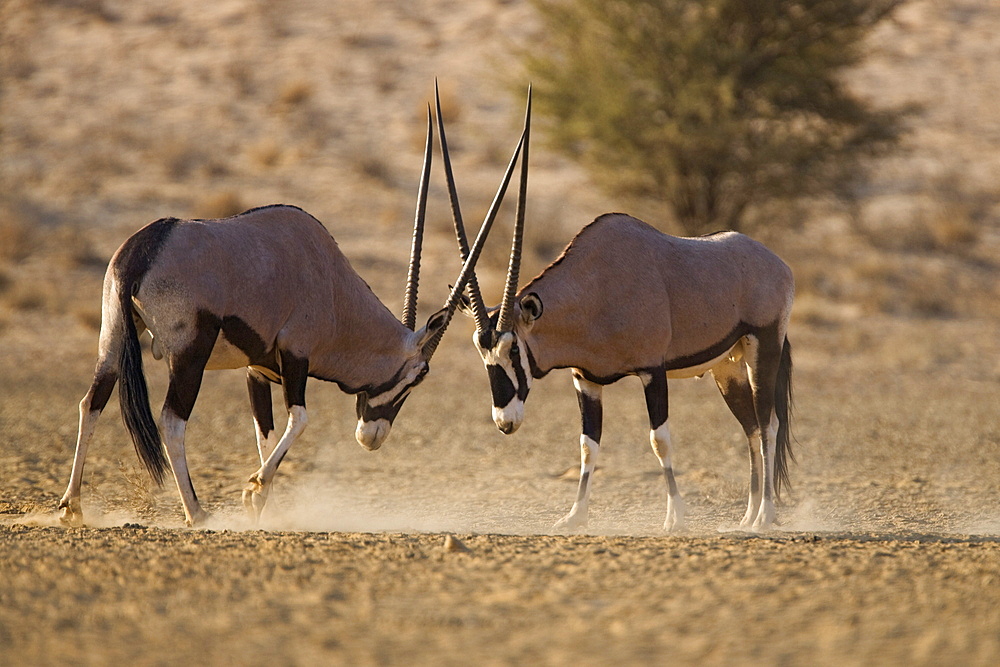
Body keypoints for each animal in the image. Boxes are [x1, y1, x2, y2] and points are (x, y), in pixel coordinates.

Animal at [58, 107, 528, 528]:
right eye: (419, 377)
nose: (371, 438)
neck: (333, 287)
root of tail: (142, 251)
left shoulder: (258, 370)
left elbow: (265, 435)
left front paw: (261, 509)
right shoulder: (295, 356)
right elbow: (299, 420)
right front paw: (253, 491)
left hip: (113, 339)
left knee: (91, 403)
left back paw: (71, 507)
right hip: (189, 353)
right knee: (172, 421)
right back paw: (196, 512)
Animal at [442, 90, 792, 532]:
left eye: (513, 349)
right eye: (481, 352)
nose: (505, 422)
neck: (595, 289)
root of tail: (777, 263)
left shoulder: (652, 371)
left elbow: (660, 440)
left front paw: (676, 517)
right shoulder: (585, 381)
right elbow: (587, 446)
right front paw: (574, 516)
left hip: (763, 348)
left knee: (768, 424)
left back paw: (765, 515)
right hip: (726, 366)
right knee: (750, 427)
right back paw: (746, 517)